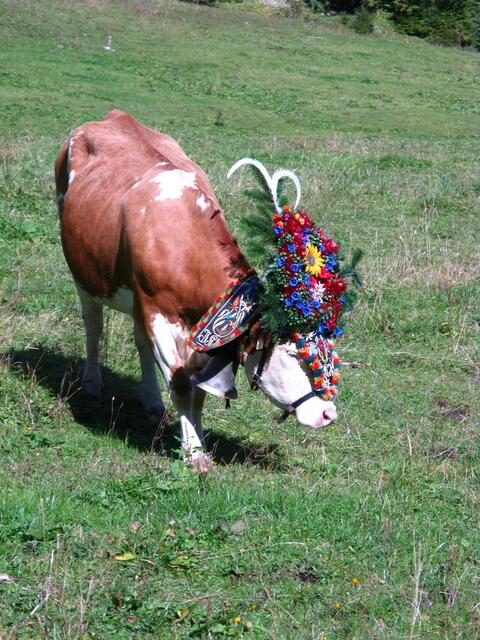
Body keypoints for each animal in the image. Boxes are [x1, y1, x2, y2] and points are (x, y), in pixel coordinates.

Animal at [55, 110, 337, 466]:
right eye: (290, 352)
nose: (328, 413)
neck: (184, 243)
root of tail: (114, 116)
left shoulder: (200, 333)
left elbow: (200, 392)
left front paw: (199, 442)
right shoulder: (157, 313)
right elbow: (181, 385)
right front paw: (193, 454)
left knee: (139, 343)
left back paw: (151, 401)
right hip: (83, 273)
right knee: (94, 325)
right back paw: (92, 383)